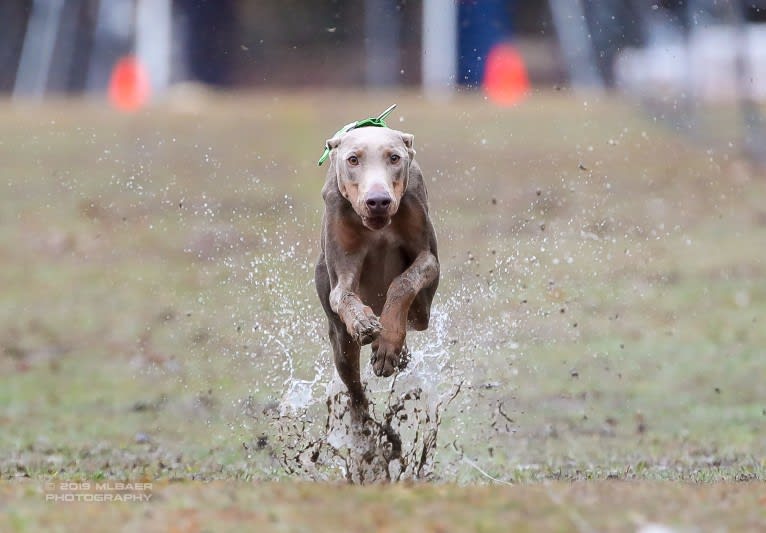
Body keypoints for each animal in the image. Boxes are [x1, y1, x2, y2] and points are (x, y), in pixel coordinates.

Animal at [316, 124, 438, 408]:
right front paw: (363, 321)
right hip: (340, 341)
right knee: (353, 387)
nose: (378, 201)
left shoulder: (428, 261)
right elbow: (344, 295)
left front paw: (387, 346)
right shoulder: (342, 273)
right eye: (352, 159)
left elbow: (404, 282)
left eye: (394, 158)